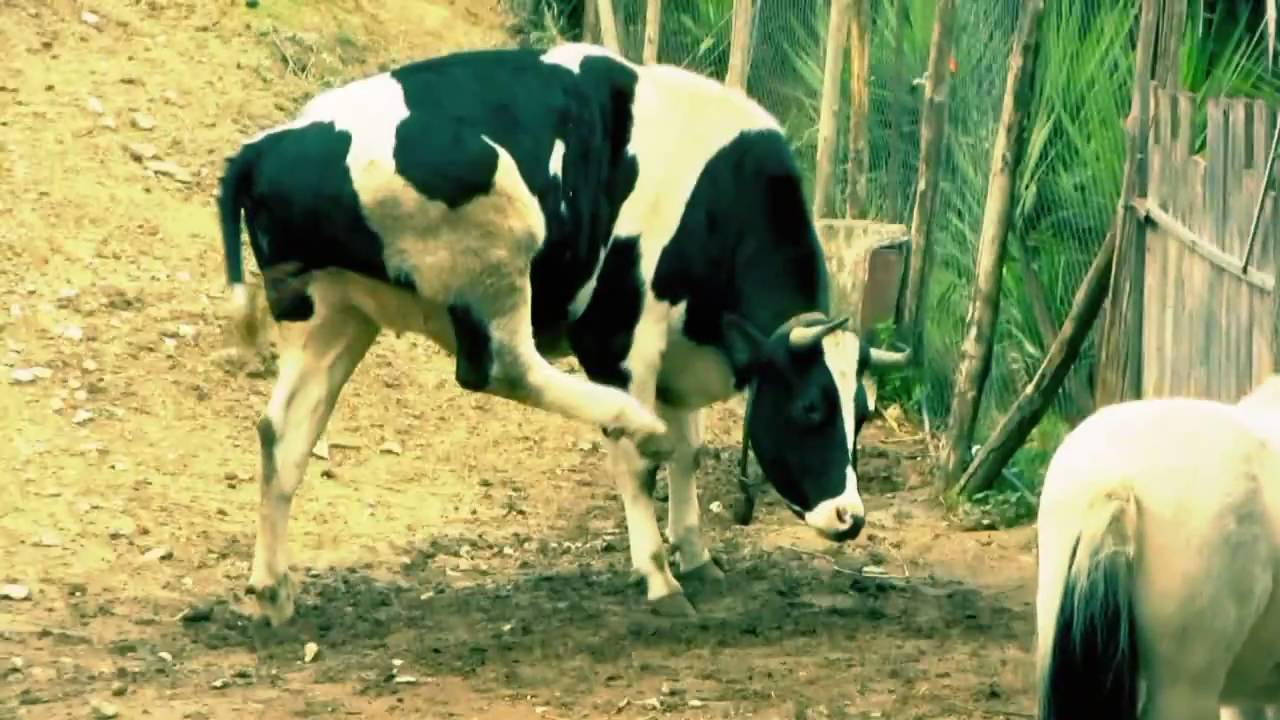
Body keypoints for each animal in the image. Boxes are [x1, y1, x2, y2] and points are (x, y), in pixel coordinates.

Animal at [217, 41, 911, 626]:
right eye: (811, 407)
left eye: (864, 414)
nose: (850, 517)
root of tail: (263, 147)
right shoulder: (619, 335)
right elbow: (641, 466)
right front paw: (660, 575)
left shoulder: (679, 350)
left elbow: (689, 451)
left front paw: (695, 555)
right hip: (499, 236)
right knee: (503, 367)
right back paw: (632, 419)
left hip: (333, 313)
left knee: (282, 434)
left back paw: (271, 590)